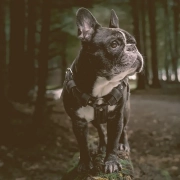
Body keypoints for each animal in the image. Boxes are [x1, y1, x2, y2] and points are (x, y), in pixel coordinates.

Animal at [62, 8, 143, 173]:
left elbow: (113, 141)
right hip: (94, 119)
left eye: (133, 42)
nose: (133, 47)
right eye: (114, 44)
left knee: (124, 129)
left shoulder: (116, 118)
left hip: (125, 111)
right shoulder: (78, 122)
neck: (101, 86)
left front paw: (111, 162)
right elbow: (83, 145)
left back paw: (123, 144)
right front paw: (84, 164)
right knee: (100, 129)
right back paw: (101, 145)